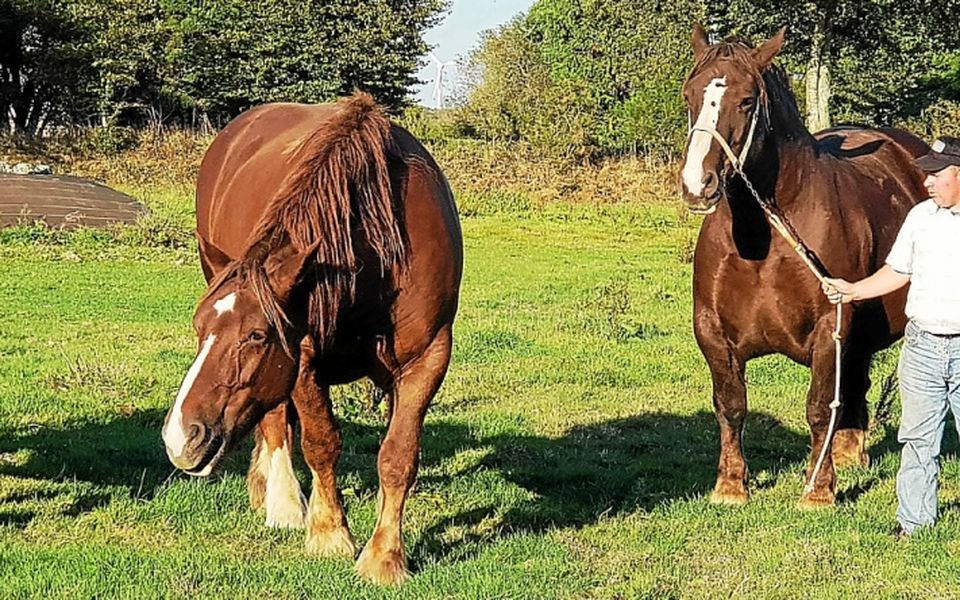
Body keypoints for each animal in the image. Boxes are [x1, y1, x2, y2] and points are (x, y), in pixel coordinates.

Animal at [161, 92, 463, 585]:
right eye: (199, 329)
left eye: (257, 335)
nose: (180, 437)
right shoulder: (302, 357)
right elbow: (321, 443)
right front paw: (329, 534)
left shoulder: (428, 357)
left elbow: (398, 455)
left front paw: (385, 556)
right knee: (275, 419)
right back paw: (281, 501)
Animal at [678, 25, 929, 508]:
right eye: (690, 95)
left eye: (746, 101)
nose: (697, 184)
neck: (763, 239)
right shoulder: (712, 332)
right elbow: (730, 404)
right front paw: (730, 486)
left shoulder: (831, 325)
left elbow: (817, 405)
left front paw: (818, 488)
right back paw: (850, 451)